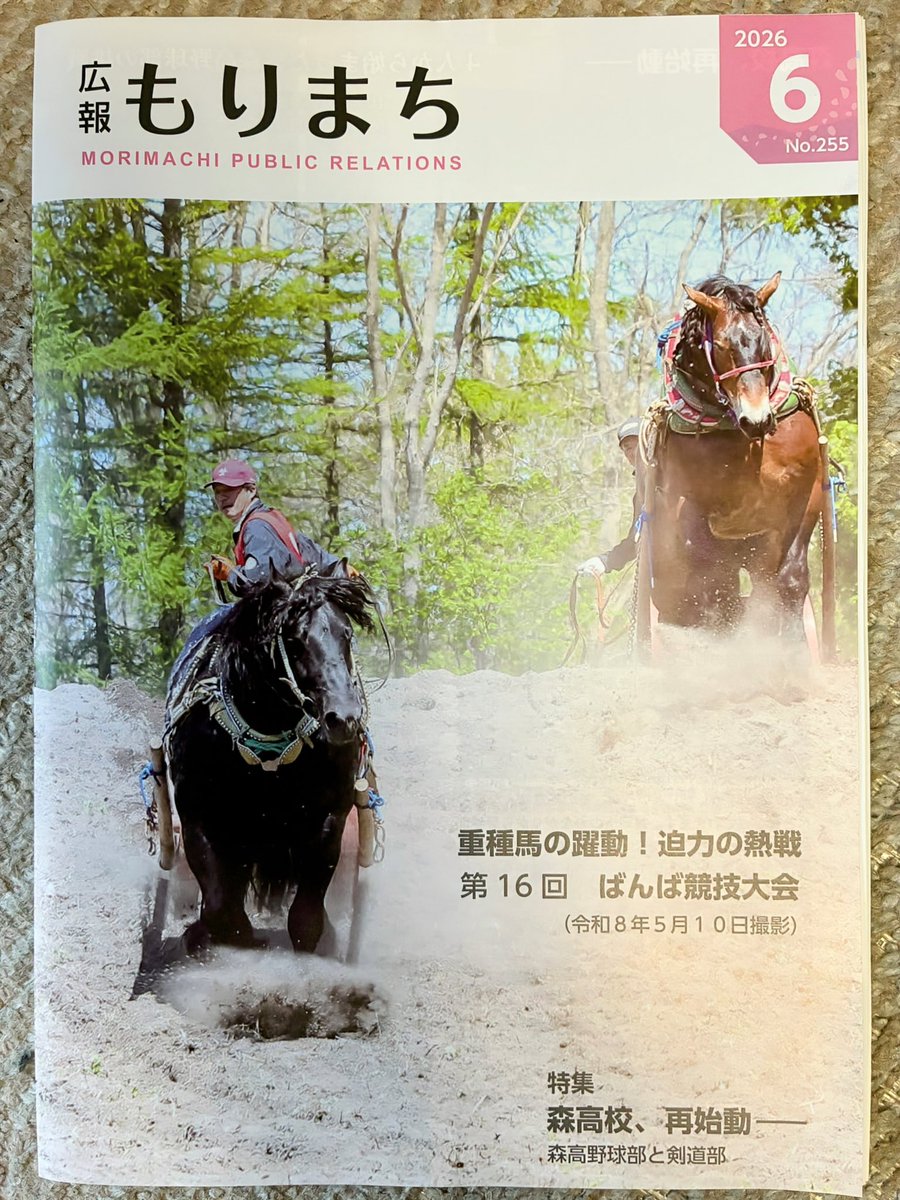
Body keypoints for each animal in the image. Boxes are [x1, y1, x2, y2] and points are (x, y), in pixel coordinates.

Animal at [163, 562, 377, 955]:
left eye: (346, 633)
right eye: (295, 639)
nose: (344, 717)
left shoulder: (329, 816)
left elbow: (306, 917)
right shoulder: (197, 815)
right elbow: (220, 906)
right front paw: (231, 938)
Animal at [640, 272, 825, 640]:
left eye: (762, 336)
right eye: (723, 347)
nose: (757, 418)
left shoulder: (805, 494)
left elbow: (791, 579)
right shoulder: (689, 505)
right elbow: (712, 586)